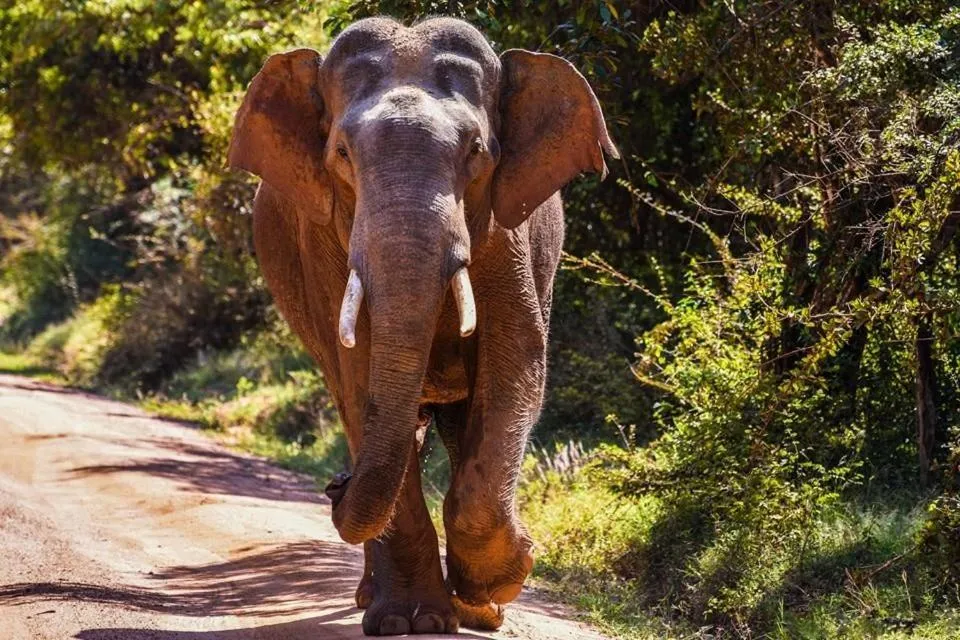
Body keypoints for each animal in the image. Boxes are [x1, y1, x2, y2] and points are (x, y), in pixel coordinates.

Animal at [228, 16, 618, 637]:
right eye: (342, 153)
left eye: (477, 151)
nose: (333, 488)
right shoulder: (325, 242)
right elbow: (361, 376)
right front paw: (410, 621)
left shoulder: (510, 235)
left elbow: (516, 369)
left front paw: (498, 583)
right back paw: (379, 599)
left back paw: (477, 607)